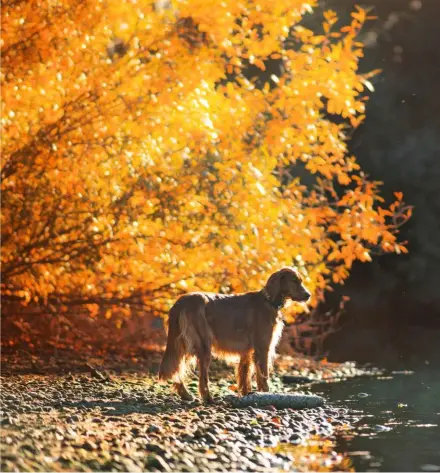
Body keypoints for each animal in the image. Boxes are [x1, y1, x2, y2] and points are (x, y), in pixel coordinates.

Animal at [158, 266, 310, 402]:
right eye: (294, 281)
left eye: (301, 281)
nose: (308, 295)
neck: (268, 301)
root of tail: (180, 302)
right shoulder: (263, 348)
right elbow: (263, 375)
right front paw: (266, 394)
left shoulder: (247, 352)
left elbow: (245, 376)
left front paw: (247, 394)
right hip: (203, 344)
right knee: (202, 378)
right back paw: (208, 398)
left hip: (182, 343)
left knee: (178, 369)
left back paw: (185, 394)